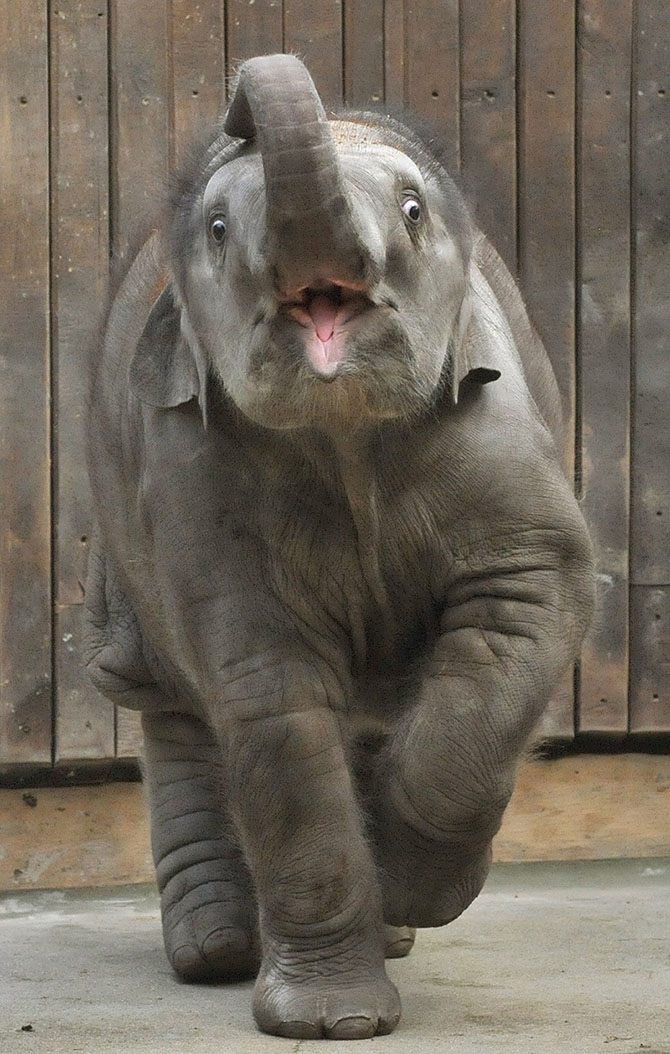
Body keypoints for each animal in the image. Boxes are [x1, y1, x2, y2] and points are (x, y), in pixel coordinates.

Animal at [82, 55, 589, 1037]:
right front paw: (331, 1024)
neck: (343, 429)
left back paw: (385, 920)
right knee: (164, 695)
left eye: (414, 211)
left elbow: (521, 610)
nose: (240, 107)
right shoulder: (194, 477)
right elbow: (270, 694)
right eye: (215, 229)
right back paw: (217, 951)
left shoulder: (500, 434)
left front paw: (414, 887)